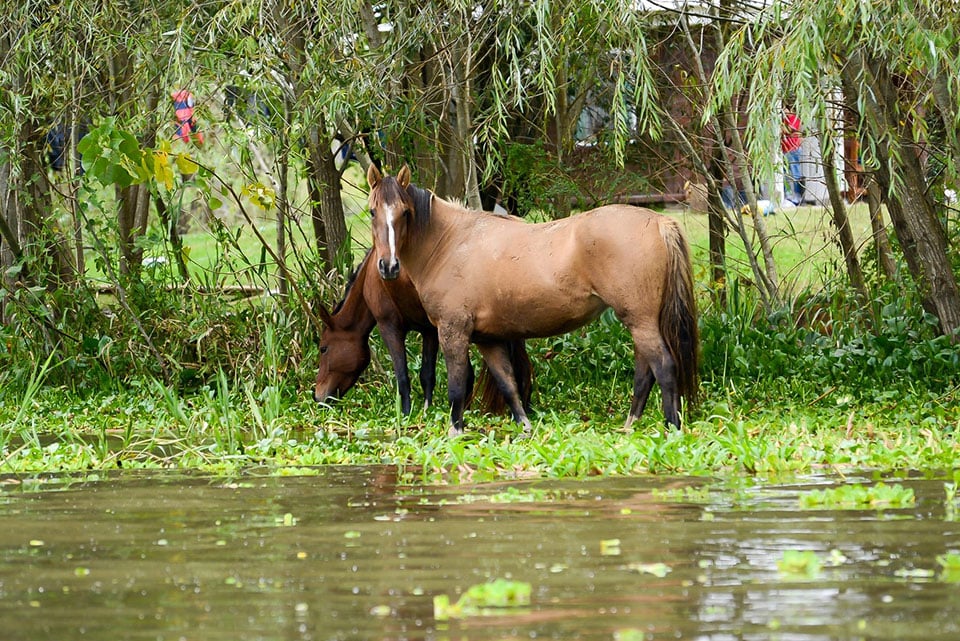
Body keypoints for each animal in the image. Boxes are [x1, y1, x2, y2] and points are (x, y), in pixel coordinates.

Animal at [316, 245, 532, 416]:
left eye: (323, 349)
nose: (317, 396)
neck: (372, 275)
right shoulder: (430, 330)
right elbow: (430, 374)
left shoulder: (390, 326)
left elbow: (404, 376)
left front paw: (408, 413)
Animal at [368, 164, 696, 436]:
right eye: (373, 211)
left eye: (405, 212)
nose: (388, 266)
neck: (451, 243)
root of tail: (659, 222)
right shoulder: (488, 339)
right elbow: (508, 384)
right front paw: (525, 427)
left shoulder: (453, 332)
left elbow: (457, 387)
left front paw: (455, 432)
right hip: (641, 321)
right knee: (645, 371)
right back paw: (631, 425)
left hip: (639, 320)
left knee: (663, 366)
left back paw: (672, 428)